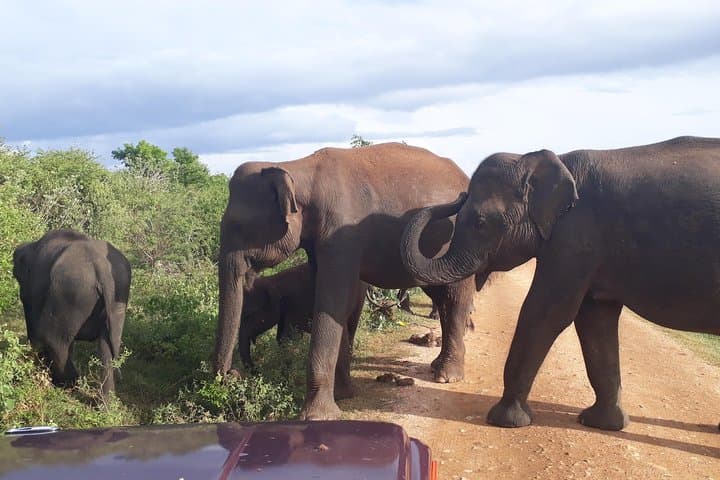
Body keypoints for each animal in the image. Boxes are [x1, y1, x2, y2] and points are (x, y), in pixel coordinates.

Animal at [13, 229, 131, 396]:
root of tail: (102, 270)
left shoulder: (32, 289)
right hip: (116, 297)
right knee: (107, 346)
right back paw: (104, 402)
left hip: (71, 291)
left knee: (51, 337)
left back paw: (68, 384)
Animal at [238, 263, 368, 401]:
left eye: (249, 315)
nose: (257, 372)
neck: (273, 281)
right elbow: (281, 339)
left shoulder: (296, 305)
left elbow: (288, 338)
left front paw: (285, 382)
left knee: (351, 327)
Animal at [401, 136, 720, 431]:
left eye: (480, 223)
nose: (457, 195)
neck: (543, 159)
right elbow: (594, 319)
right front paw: (602, 423)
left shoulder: (575, 234)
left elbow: (547, 312)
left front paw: (505, 420)